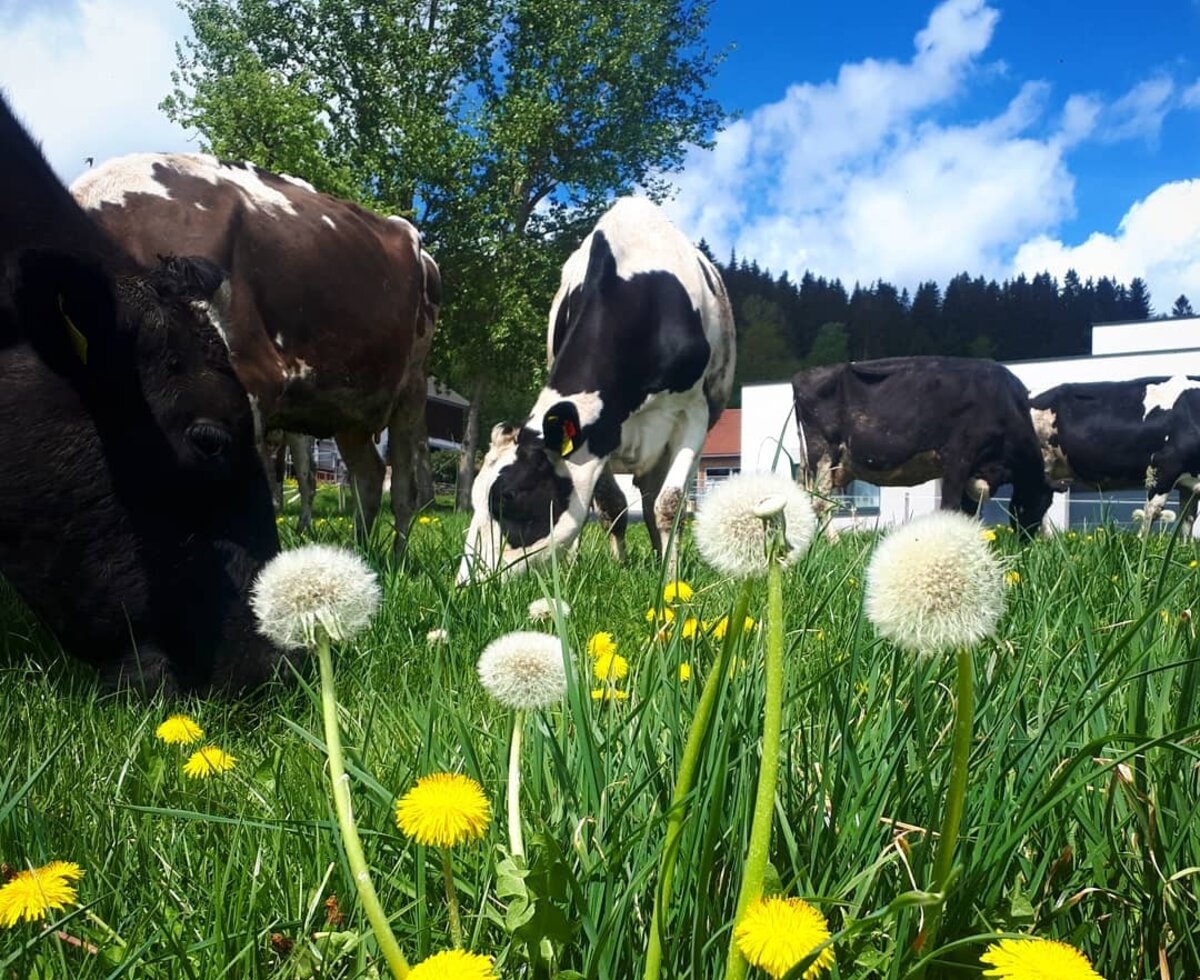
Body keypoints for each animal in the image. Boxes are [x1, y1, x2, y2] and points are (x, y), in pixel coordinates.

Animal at [71, 156, 440, 557]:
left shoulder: (253, 380)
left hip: (412, 389)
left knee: (402, 486)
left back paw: (396, 558)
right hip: (349, 407)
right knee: (369, 474)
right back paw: (358, 553)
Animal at [457, 196, 736, 584]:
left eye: (508, 496)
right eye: (476, 495)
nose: (464, 583)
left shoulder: (692, 411)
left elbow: (670, 504)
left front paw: (670, 581)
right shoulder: (602, 433)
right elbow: (609, 505)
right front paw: (619, 567)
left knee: (653, 498)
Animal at [792, 356, 1054, 535]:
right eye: (1043, 501)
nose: (1026, 540)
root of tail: (802, 376)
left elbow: (969, 511)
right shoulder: (958, 457)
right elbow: (951, 506)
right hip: (823, 452)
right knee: (820, 502)